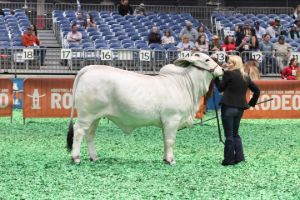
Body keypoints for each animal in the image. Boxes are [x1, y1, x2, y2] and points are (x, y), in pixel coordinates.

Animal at [67, 52, 224, 164]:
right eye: (207, 60)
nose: (222, 70)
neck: (185, 85)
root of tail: (90, 68)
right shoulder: (172, 119)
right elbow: (170, 140)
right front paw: (171, 160)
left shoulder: (166, 123)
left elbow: (165, 140)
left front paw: (165, 159)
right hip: (86, 115)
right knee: (79, 131)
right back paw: (76, 158)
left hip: (95, 117)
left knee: (90, 134)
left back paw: (94, 157)